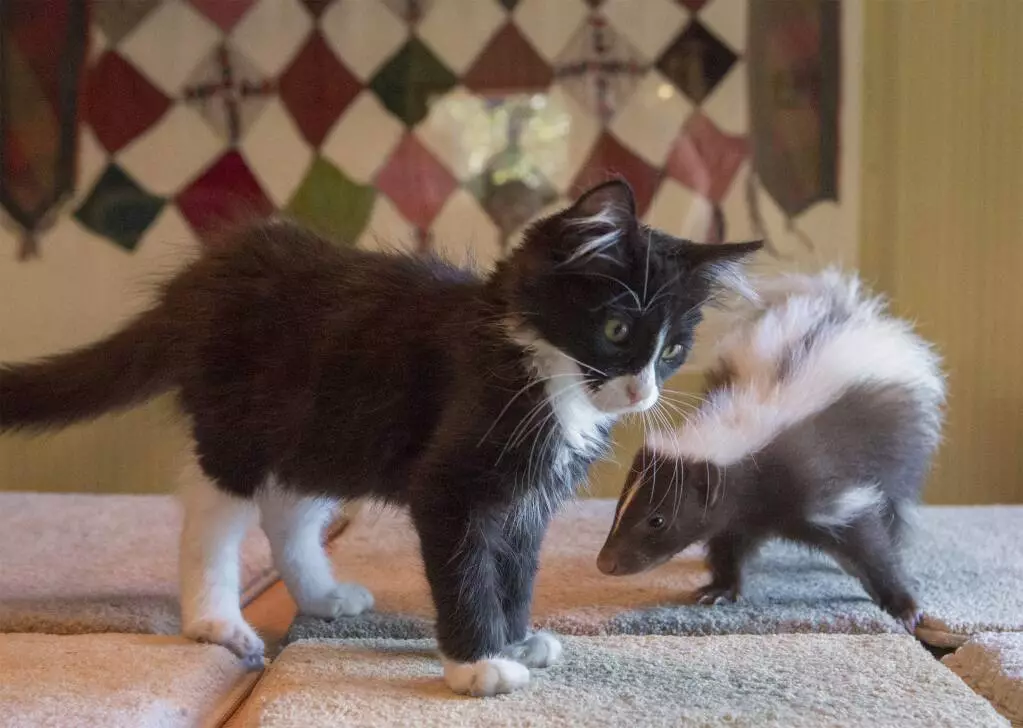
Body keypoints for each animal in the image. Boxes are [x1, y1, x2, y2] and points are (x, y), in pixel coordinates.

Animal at [0, 178, 761, 695]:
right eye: (616, 329)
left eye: (673, 350)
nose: (642, 394)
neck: (539, 370)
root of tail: (199, 278)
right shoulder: (450, 485)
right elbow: (466, 569)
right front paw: (478, 664)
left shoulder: (527, 497)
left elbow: (514, 567)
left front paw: (515, 639)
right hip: (238, 425)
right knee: (214, 519)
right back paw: (215, 622)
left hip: (322, 427)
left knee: (287, 512)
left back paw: (319, 595)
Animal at [597, 269, 941, 629]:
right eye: (620, 506)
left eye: (657, 520)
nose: (606, 563)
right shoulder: (738, 505)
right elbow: (728, 541)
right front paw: (720, 588)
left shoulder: (824, 487)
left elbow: (868, 543)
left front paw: (904, 606)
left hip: (904, 443)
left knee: (896, 503)